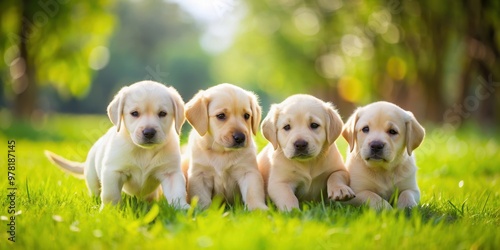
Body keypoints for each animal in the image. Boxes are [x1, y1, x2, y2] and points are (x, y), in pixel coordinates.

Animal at [44, 81, 189, 210]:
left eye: (163, 113)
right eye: (134, 113)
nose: (149, 132)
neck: (143, 151)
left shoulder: (170, 173)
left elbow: (177, 193)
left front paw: (182, 208)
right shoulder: (113, 171)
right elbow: (110, 194)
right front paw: (109, 211)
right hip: (92, 176)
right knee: (96, 191)